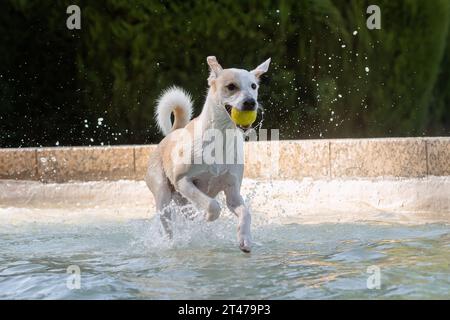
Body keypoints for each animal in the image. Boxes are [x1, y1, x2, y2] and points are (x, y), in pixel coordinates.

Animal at [145, 55, 270, 252]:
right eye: (231, 86)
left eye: (253, 86)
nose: (251, 102)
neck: (221, 137)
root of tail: (173, 133)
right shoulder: (183, 181)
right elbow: (212, 205)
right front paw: (208, 216)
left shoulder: (233, 193)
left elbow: (245, 213)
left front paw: (245, 239)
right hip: (162, 194)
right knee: (168, 224)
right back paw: (171, 243)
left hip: (182, 201)